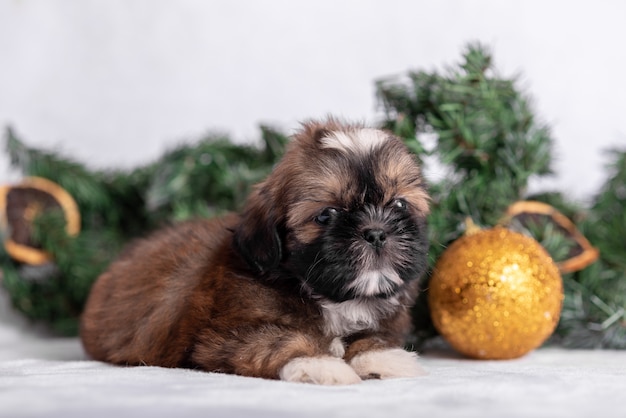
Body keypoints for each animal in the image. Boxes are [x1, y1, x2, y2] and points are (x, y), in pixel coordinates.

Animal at [80, 118, 426, 386]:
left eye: (398, 204)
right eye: (326, 214)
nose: (376, 232)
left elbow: (372, 335)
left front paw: (380, 357)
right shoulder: (221, 337)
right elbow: (279, 339)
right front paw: (319, 364)